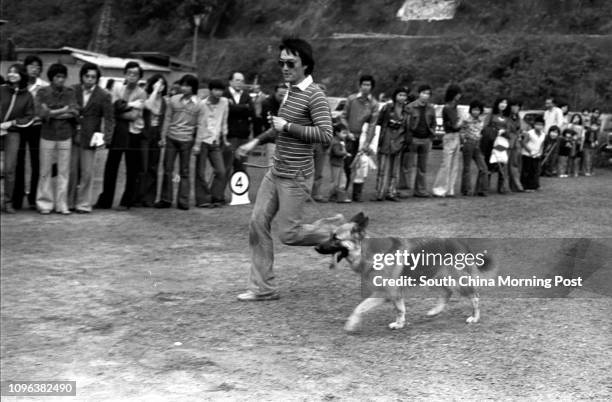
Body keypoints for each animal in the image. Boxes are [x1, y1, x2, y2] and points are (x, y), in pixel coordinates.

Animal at [314, 212, 494, 332]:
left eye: (336, 238)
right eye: (330, 236)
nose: (316, 247)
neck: (367, 251)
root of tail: (461, 242)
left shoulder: (386, 292)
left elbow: (360, 307)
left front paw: (350, 324)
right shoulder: (391, 293)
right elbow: (400, 309)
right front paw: (400, 323)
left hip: (456, 281)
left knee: (475, 297)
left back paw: (474, 317)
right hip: (433, 278)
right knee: (447, 293)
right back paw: (435, 311)